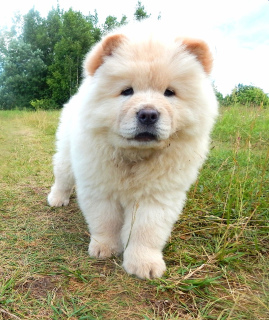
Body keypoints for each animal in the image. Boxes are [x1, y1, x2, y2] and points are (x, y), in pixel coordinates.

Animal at [46, 21, 218, 278]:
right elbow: (106, 221)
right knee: (63, 177)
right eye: (127, 91)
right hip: (67, 156)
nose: (148, 114)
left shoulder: (157, 195)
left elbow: (145, 231)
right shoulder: (101, 187)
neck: (134, 155)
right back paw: (57, 199)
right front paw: (105, 248)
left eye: (169, 92)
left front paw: (144, 264)